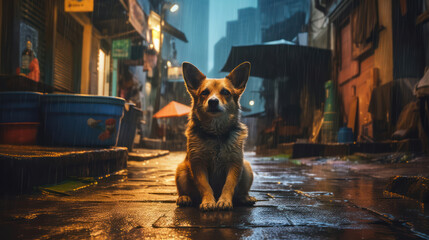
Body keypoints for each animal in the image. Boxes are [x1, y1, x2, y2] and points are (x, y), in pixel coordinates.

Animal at [174, 61, 254, 211]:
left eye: (225, 92)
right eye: (204, 92)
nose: (213, 101)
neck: (216, 134)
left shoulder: (235, 164)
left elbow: (229, 185)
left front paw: (224, 201)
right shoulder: (198, 164)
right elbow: (205, 185)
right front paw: (208, 201)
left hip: (246, 168)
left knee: (240, 192)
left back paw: (245, 198)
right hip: (181, 170)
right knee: (185, 191)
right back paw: (184, 198)